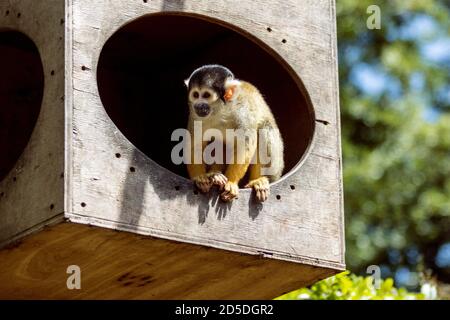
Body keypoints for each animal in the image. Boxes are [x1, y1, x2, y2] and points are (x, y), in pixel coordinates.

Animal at [184, 63, 284, 201]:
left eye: (206, 95)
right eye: (195, 95)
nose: (198, 105)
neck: (221, 111)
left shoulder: (243, 113)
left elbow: (245, 146)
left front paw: (231, 182)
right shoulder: (195, 116)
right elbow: (195, 145)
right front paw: (201, 177)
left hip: (277, 167)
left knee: (264, 130)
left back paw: (258, 180)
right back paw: (215, 176)